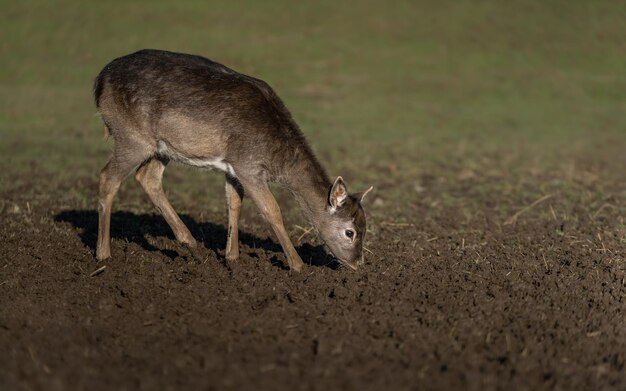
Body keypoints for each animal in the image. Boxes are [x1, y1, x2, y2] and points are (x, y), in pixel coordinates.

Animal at [92, 49, 370, 272]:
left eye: (366, 227)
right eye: (350, 232)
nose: (357, 264)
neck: (276, 158)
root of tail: (99, 81)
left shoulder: (233, 166)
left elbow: (234, 203)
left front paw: (232, 258)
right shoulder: (249, 166)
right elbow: (272, 210)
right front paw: (298, 265)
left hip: (162, 148)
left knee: (147, 177)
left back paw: (191, 244)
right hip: (131, 136)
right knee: (107, 177)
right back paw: (103, 255)